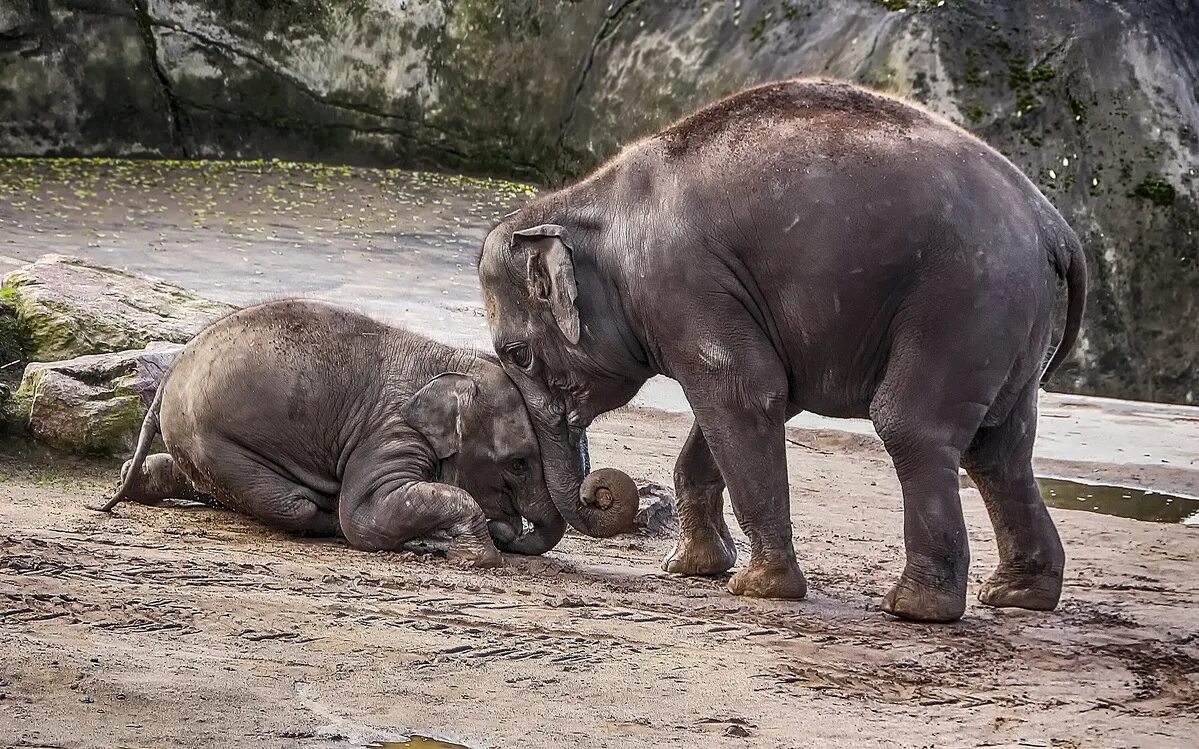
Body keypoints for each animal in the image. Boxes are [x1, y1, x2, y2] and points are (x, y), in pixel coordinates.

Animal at [97, 300, 637, 563]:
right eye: (519, 464)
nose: (511, 532)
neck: (454, 365)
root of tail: (174, 369)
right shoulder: (391, 432)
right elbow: (364, 516)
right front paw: (474, 554)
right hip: (217, 442)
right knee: (296, 507)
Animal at [477, 79, 1088, 623]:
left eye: (519, 355)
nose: (597, 490)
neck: (589, 201)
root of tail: (1053, 223)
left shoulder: (684, 285)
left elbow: (742, 395)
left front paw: (757, 589)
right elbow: (749, 405)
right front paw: (693, 568)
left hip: (965, 299)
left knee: (913, 427)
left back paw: (916, 609)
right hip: (1007, 320)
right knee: (999, 449)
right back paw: (1016, 596)